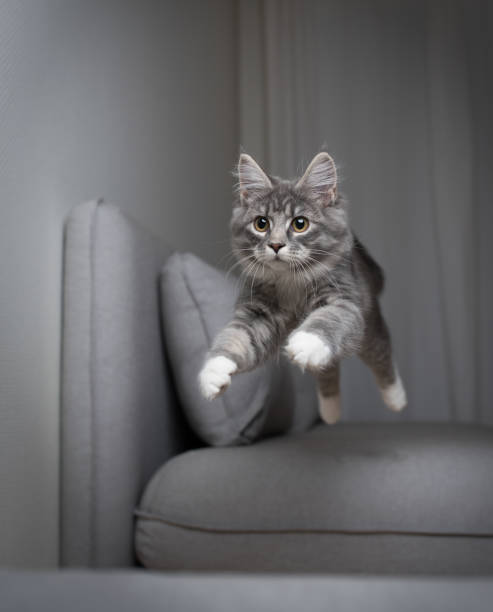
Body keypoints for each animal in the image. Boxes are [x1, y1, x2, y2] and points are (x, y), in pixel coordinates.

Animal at [198, 151, 406, 424]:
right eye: (261, 223)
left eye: (300, 224)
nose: (276, 245)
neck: (291, 282)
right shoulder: (257, 315)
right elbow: (235, 337)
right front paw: (213, 371)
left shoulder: (343, 302)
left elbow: (326, 320)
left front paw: (305, 341)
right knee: (326, 367)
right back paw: (330, 412)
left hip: (370, 328)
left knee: (381, 356)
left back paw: (396, 399)